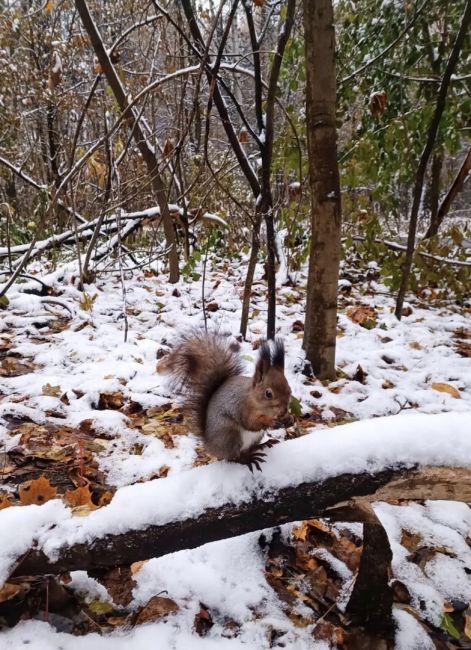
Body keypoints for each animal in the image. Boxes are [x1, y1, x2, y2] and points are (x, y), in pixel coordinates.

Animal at [159, 332, 292, 468]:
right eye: (268, 393)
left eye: (289, 388)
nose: (283, 411)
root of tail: (210, 446)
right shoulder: (243, 408)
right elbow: (251, 423)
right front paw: (271, 422)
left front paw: (288, 419)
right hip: (230, 435)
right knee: (233, 457)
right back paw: (248, 459)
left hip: (255, 437)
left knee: (248, 449)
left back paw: (262, 445)